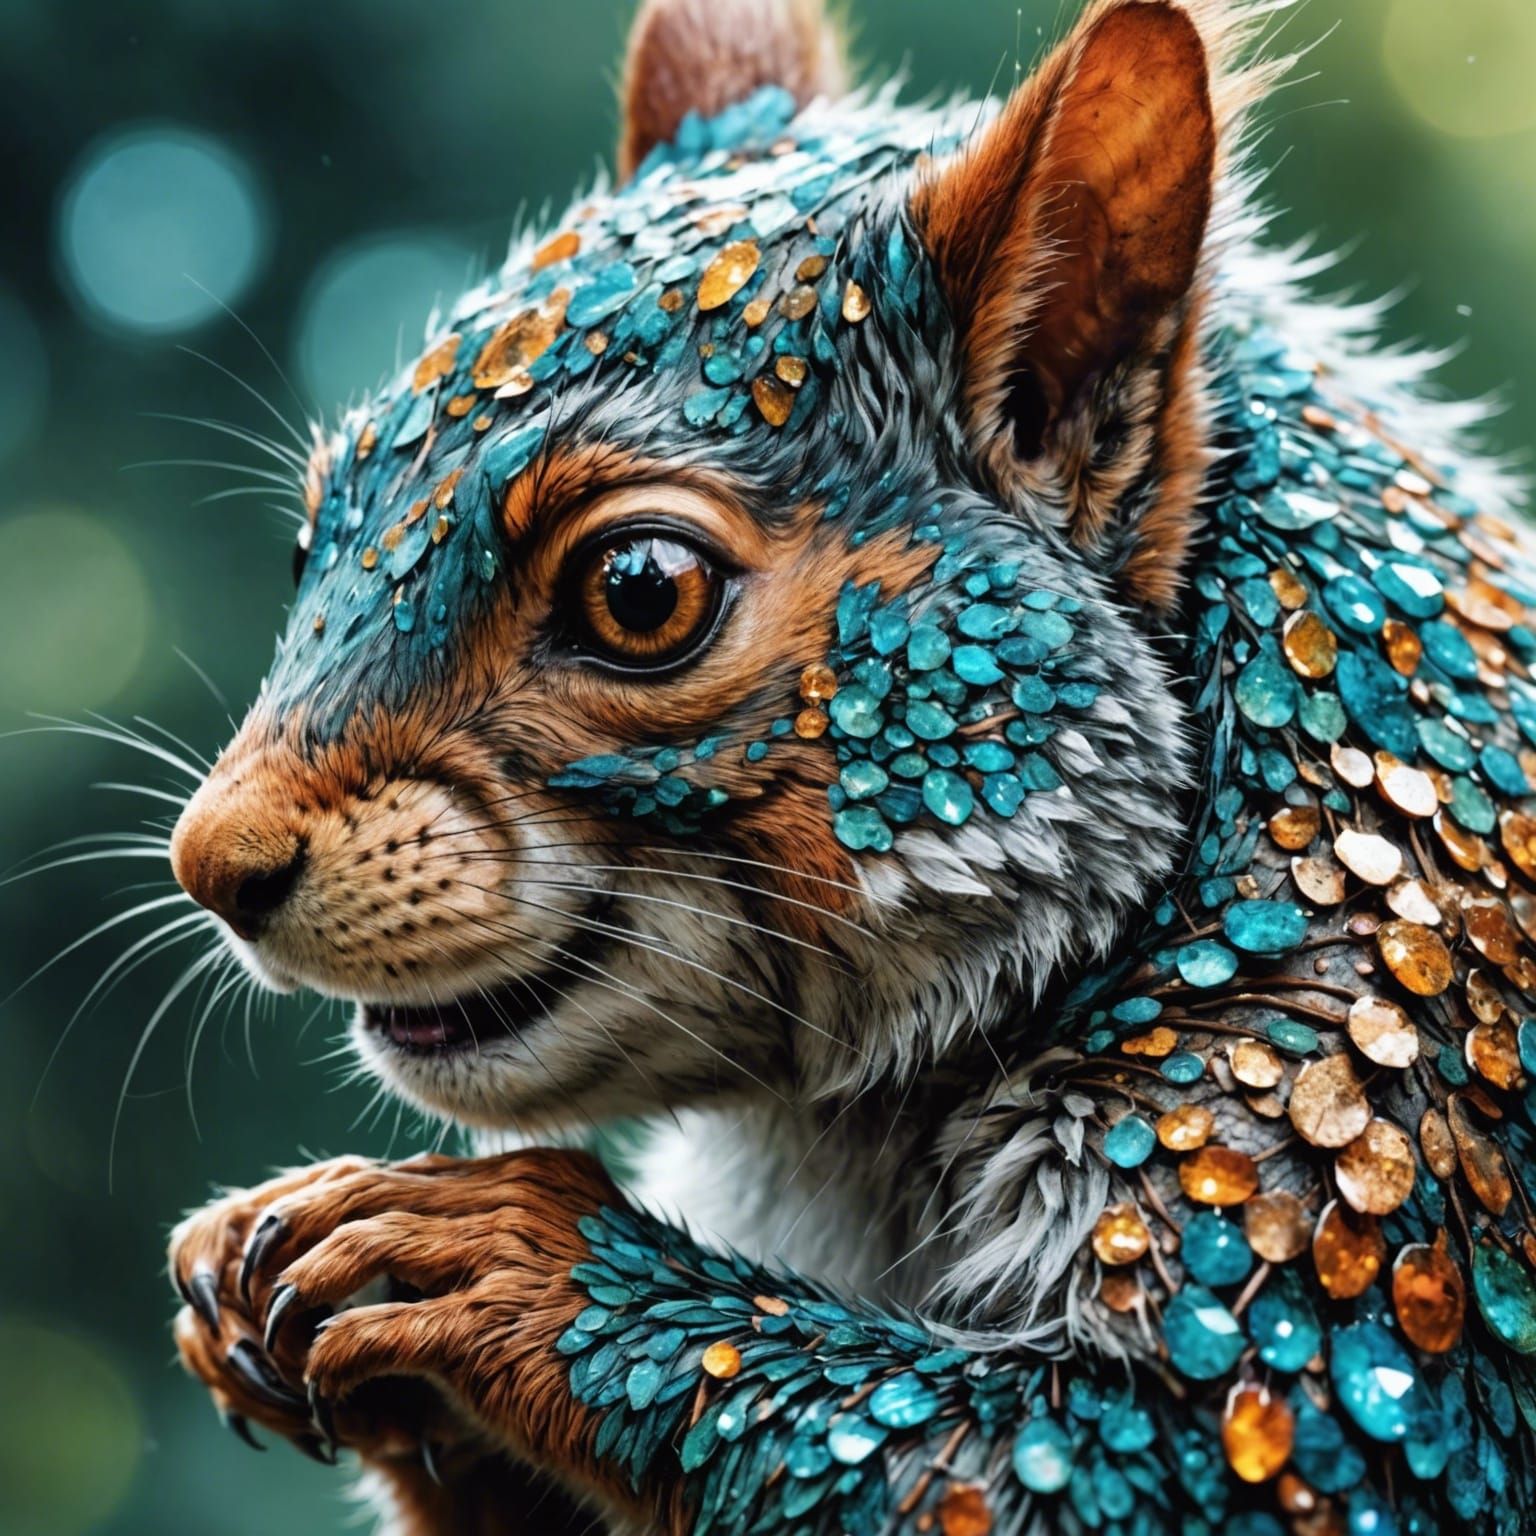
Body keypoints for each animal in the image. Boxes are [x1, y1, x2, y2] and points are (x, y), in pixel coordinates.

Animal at [161, 1, 1536, 1532]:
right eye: (308, 540)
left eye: (641, 591)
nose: (212, 865)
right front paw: (249, 1265)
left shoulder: (1373, 1094)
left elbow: (1122, 1456)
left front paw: (502, 1257)